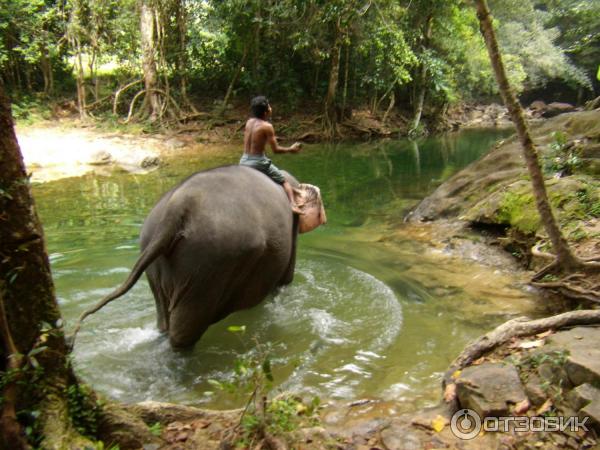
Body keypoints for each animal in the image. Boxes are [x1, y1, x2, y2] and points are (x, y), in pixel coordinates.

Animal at [77, 165, 328, 348]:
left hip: (158, 258)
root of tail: (178, 208)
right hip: (210, 264)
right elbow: (285, 279)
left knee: (164, 318)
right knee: (184, 332)